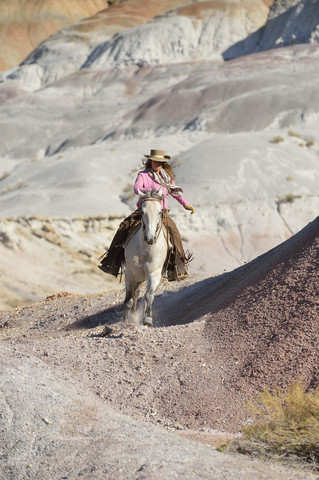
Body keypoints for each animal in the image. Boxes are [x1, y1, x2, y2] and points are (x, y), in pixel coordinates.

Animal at [124, 188, 170, 326]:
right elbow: (129, 298)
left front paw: (147, 319)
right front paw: (126, 319)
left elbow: (149, 295)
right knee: (134, 294)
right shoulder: (130, 273)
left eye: (159, 211)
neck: (146, 249)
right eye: (142, 212)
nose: (150, 238)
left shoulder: (154, 273)